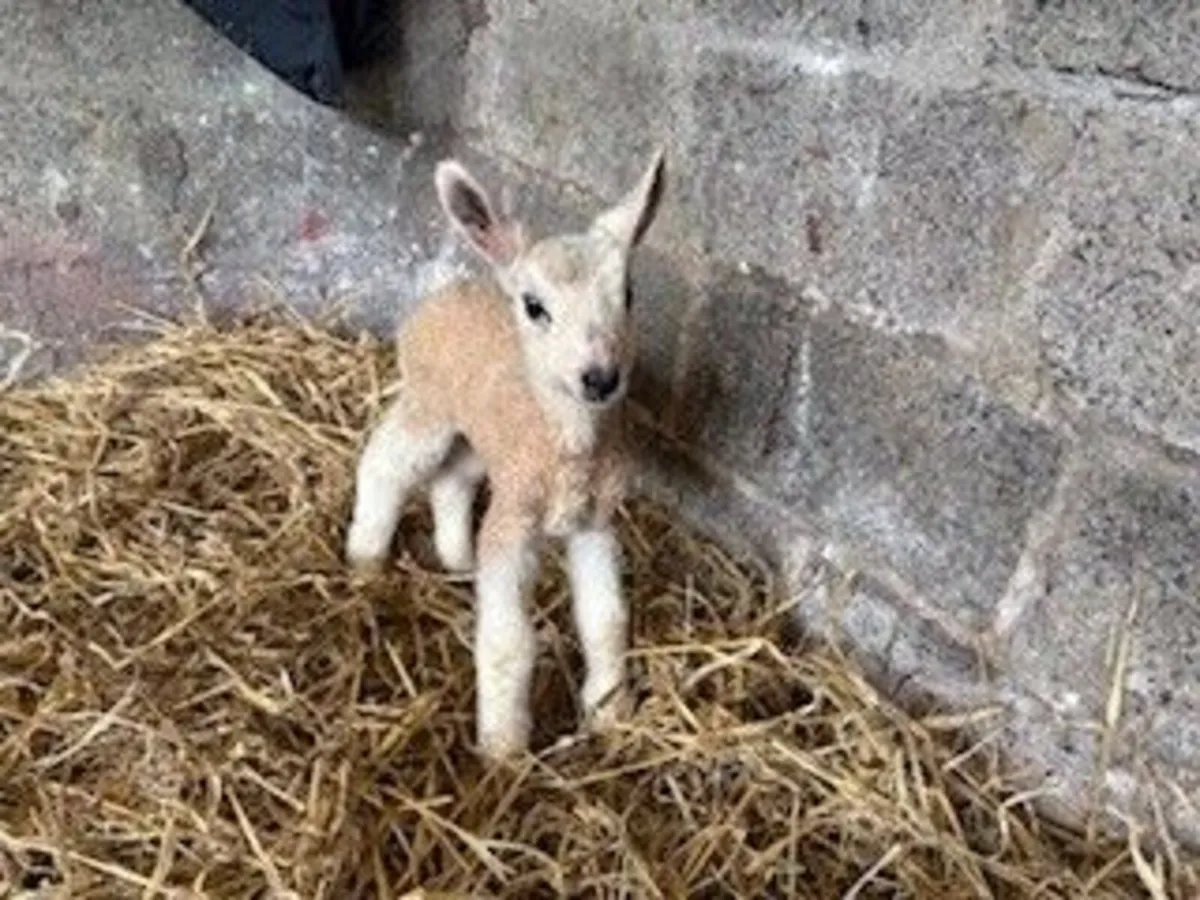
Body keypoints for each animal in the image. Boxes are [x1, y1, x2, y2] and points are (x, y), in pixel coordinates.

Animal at [345, 149, 667, 760]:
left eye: (632, 295)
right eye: (535, 307)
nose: (600, 378)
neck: (569, 451)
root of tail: (449, 290)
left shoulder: (594, 522)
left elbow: (606, 621)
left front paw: (610, 715)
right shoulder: (513, 525)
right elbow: (508, 642)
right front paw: (503, 751)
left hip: (480, 439)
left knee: (452, 478)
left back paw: (456, 557)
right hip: (428, 403)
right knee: (385, 464)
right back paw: (365, 559)